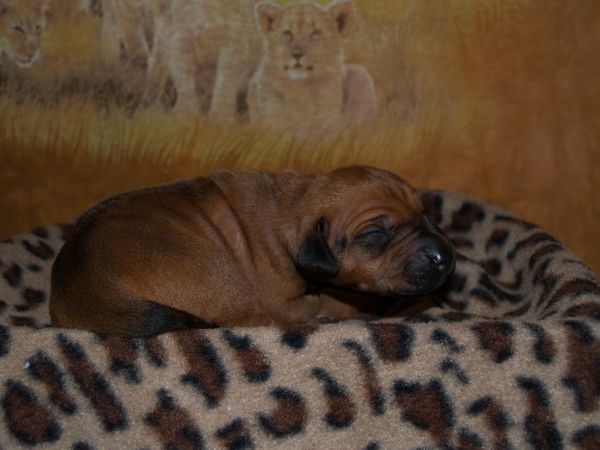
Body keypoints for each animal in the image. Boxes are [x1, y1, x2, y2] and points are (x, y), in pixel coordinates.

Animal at [50, 166, 455, 336]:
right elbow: (330, 299)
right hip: (218, 274)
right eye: (375, 233)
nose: (444, 256)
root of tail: (84, 285)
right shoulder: (284, 299)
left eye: (424, 213)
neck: (290, 206)